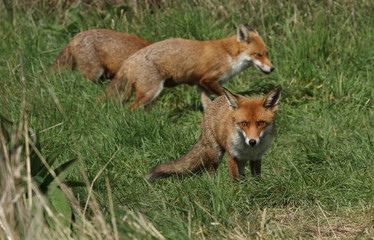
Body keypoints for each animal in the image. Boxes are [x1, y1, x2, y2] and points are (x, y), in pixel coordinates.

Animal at [103, 23, 274, 109]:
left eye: (267, 53)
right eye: (258, 55)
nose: (272, 68)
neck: (228, 54)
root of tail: (130, 59)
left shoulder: (201, 85)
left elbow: (207, 105)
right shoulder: (209, 79)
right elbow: (223, 97)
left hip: (149, 95)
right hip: (151, 91)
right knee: (131, 108)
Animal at [146, 86, 280, 182]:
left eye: (261, 123)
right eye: (244, 123)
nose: (252, 141)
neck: (248, 149)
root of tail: (214, 101)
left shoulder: (256, 157)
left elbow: (256, 177)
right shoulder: (231, 155)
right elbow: (234, 178)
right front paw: (237, 193)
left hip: (239, 160)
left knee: (242, 174)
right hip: (216, 154)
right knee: (211, 172)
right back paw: (213, 187)